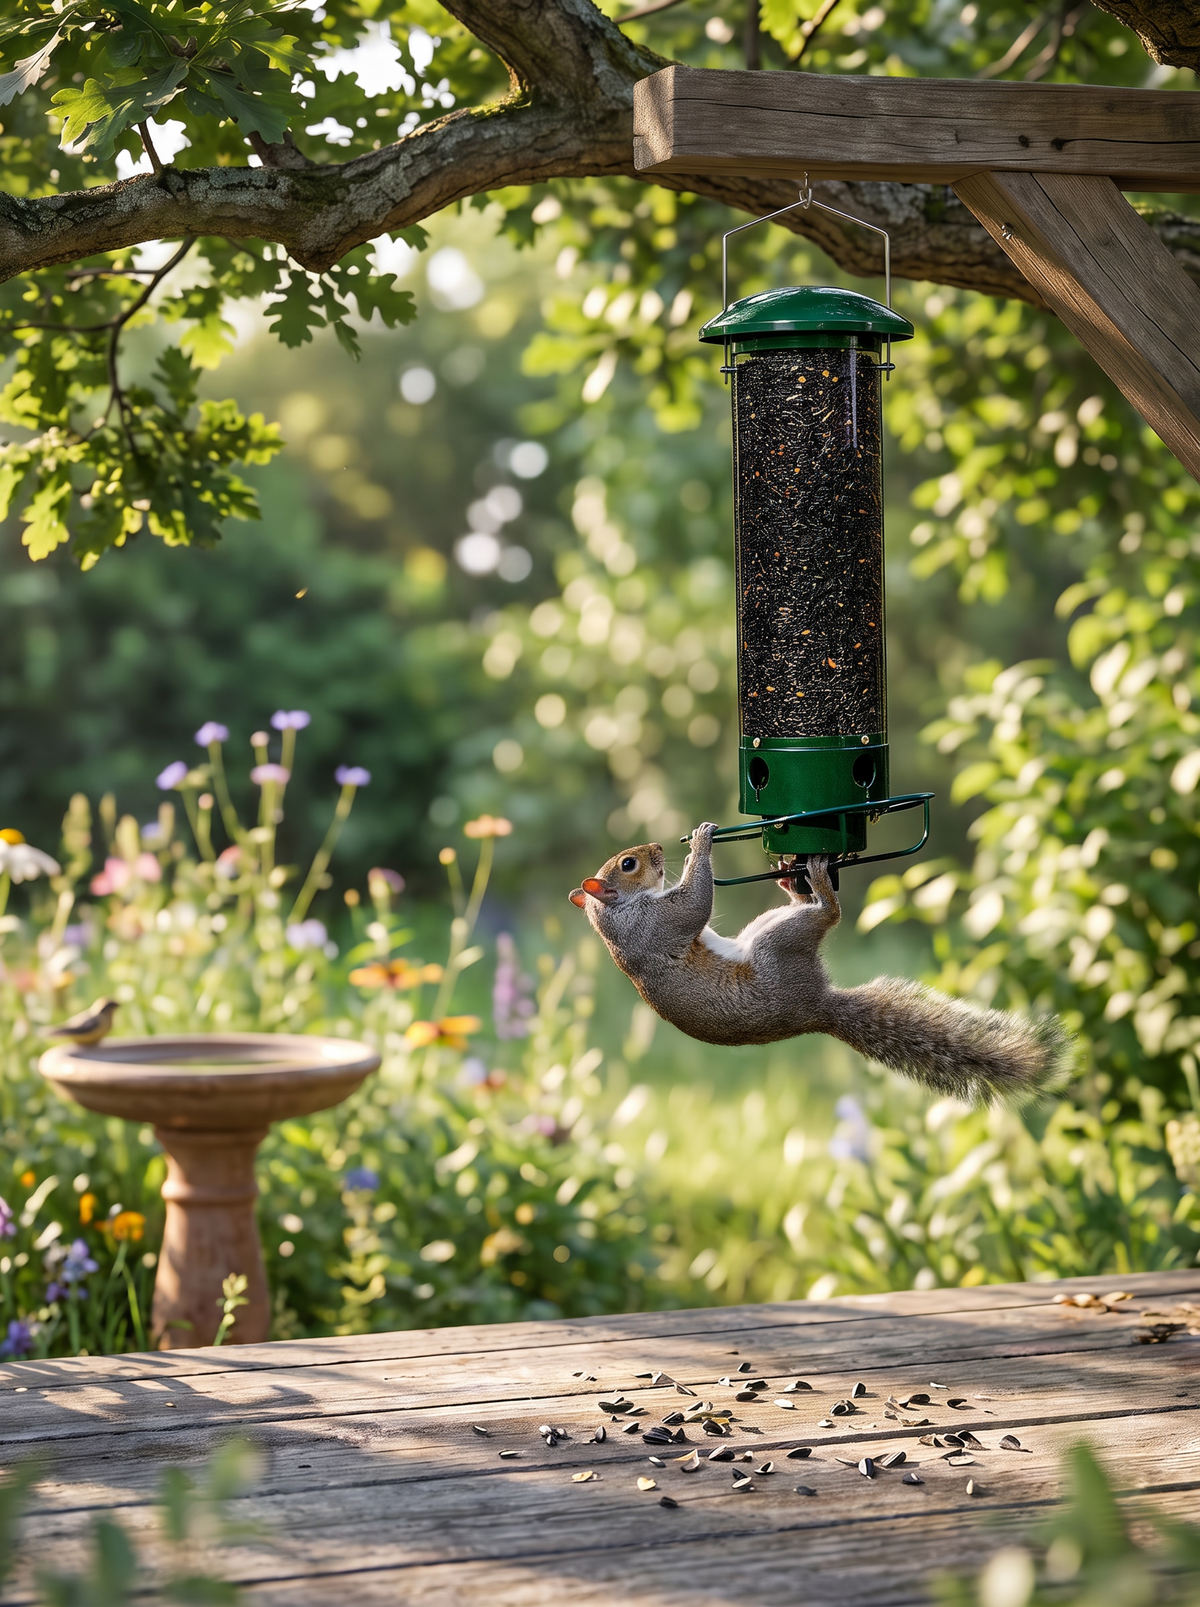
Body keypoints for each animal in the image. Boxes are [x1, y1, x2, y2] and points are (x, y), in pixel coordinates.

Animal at [569, 823, 1071, 1104]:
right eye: (630, 864)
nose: (656, 847)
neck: (617, 916)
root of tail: (816, 1006)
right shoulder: (657, 925)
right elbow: (695, 905)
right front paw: (702, 843)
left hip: (763, 927)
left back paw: (794, 884)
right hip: (776, 945)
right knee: (830, 916)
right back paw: (820, 890)